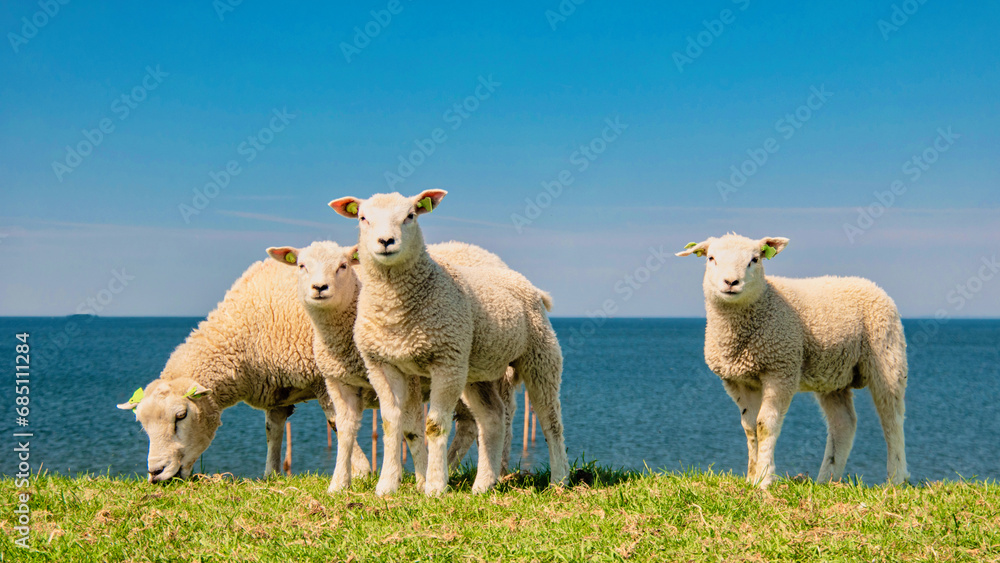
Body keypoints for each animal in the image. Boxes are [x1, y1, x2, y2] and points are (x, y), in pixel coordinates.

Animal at [116, 258, 372, 482]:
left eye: (181, 416)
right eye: (142, 423)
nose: (155, 472)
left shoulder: (324, 379)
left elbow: (338, 422)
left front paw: (360, 472)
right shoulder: (279, 391)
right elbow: (273, 431)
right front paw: (271, 475)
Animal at [265, 240, 519, 493]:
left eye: (343, 266)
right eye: (301, 266)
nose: (319, 287)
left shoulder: (410, 381)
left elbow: (412, 431)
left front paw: (421, 480)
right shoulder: (337, 380)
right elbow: (345, 430)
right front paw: (339, 484)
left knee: (502, 418)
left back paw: (496, 472)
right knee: (473, 423)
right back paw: (456, 467)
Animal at [330, 189, 569, 496]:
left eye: (410, 216)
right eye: (362, 218)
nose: (386, 242)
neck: (396, 308)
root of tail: (524, 282)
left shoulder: (446, 360)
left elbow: (434, 426)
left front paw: (434, 486)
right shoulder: (381, 364)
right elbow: (390, 423)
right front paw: (386, 486)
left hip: (539, 355)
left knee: (550, 420)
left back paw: (559, 479)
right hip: (477, 370)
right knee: (493, 418)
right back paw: (483, 484)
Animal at [676, 233, 908, 488]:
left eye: (754, 260)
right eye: (711, 258)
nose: (731, 282)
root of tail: (870, 284)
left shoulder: (781, 369)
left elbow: (764, 425)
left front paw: (765, 479)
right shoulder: (738, 380)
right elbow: (750, 428)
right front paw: (751, 478)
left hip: (887, 356)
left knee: (892, 419)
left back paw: (896, 479)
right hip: (833, 376)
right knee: (843, 424)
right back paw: (826, 479)